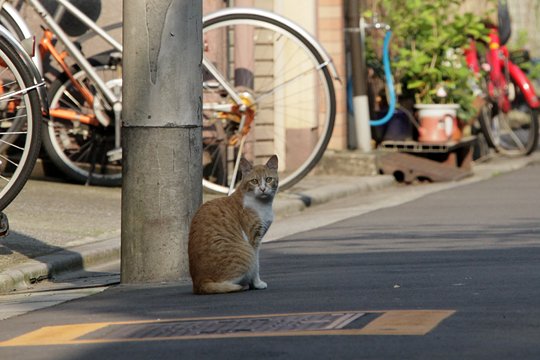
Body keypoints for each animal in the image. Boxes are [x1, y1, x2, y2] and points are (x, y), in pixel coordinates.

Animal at [189, 155, 278, 296]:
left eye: (269, 179)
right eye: (254, 181)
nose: (263, 189)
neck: (262, 205)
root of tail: (199, 282)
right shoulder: (254, 240)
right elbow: (256, 266)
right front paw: (257, 284)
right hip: (246, 252)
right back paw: (242, 286)